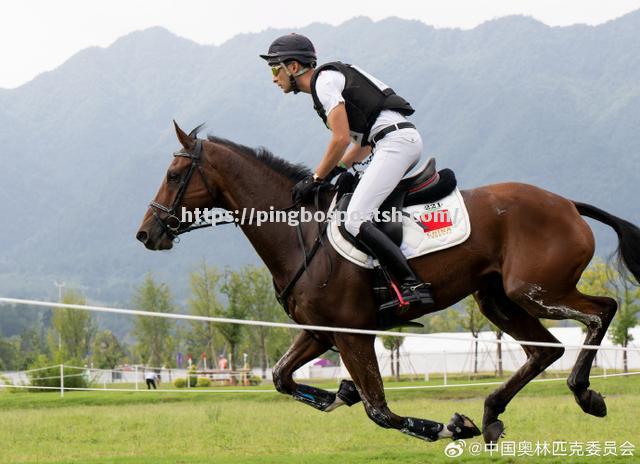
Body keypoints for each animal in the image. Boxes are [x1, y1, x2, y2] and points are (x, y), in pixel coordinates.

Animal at [136, 122, 640, 442]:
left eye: (174, 175)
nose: (146, 234)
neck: (299, 233)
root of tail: (567, 203)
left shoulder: (352, 334)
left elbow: (378, 410)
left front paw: (447, 427)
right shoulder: (320, 333)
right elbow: (281, 377)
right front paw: (340, 392)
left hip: (536, 291)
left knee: (602, 311)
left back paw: (582, 393)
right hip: (497, 299)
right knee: (544, 350)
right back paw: (493, 414)